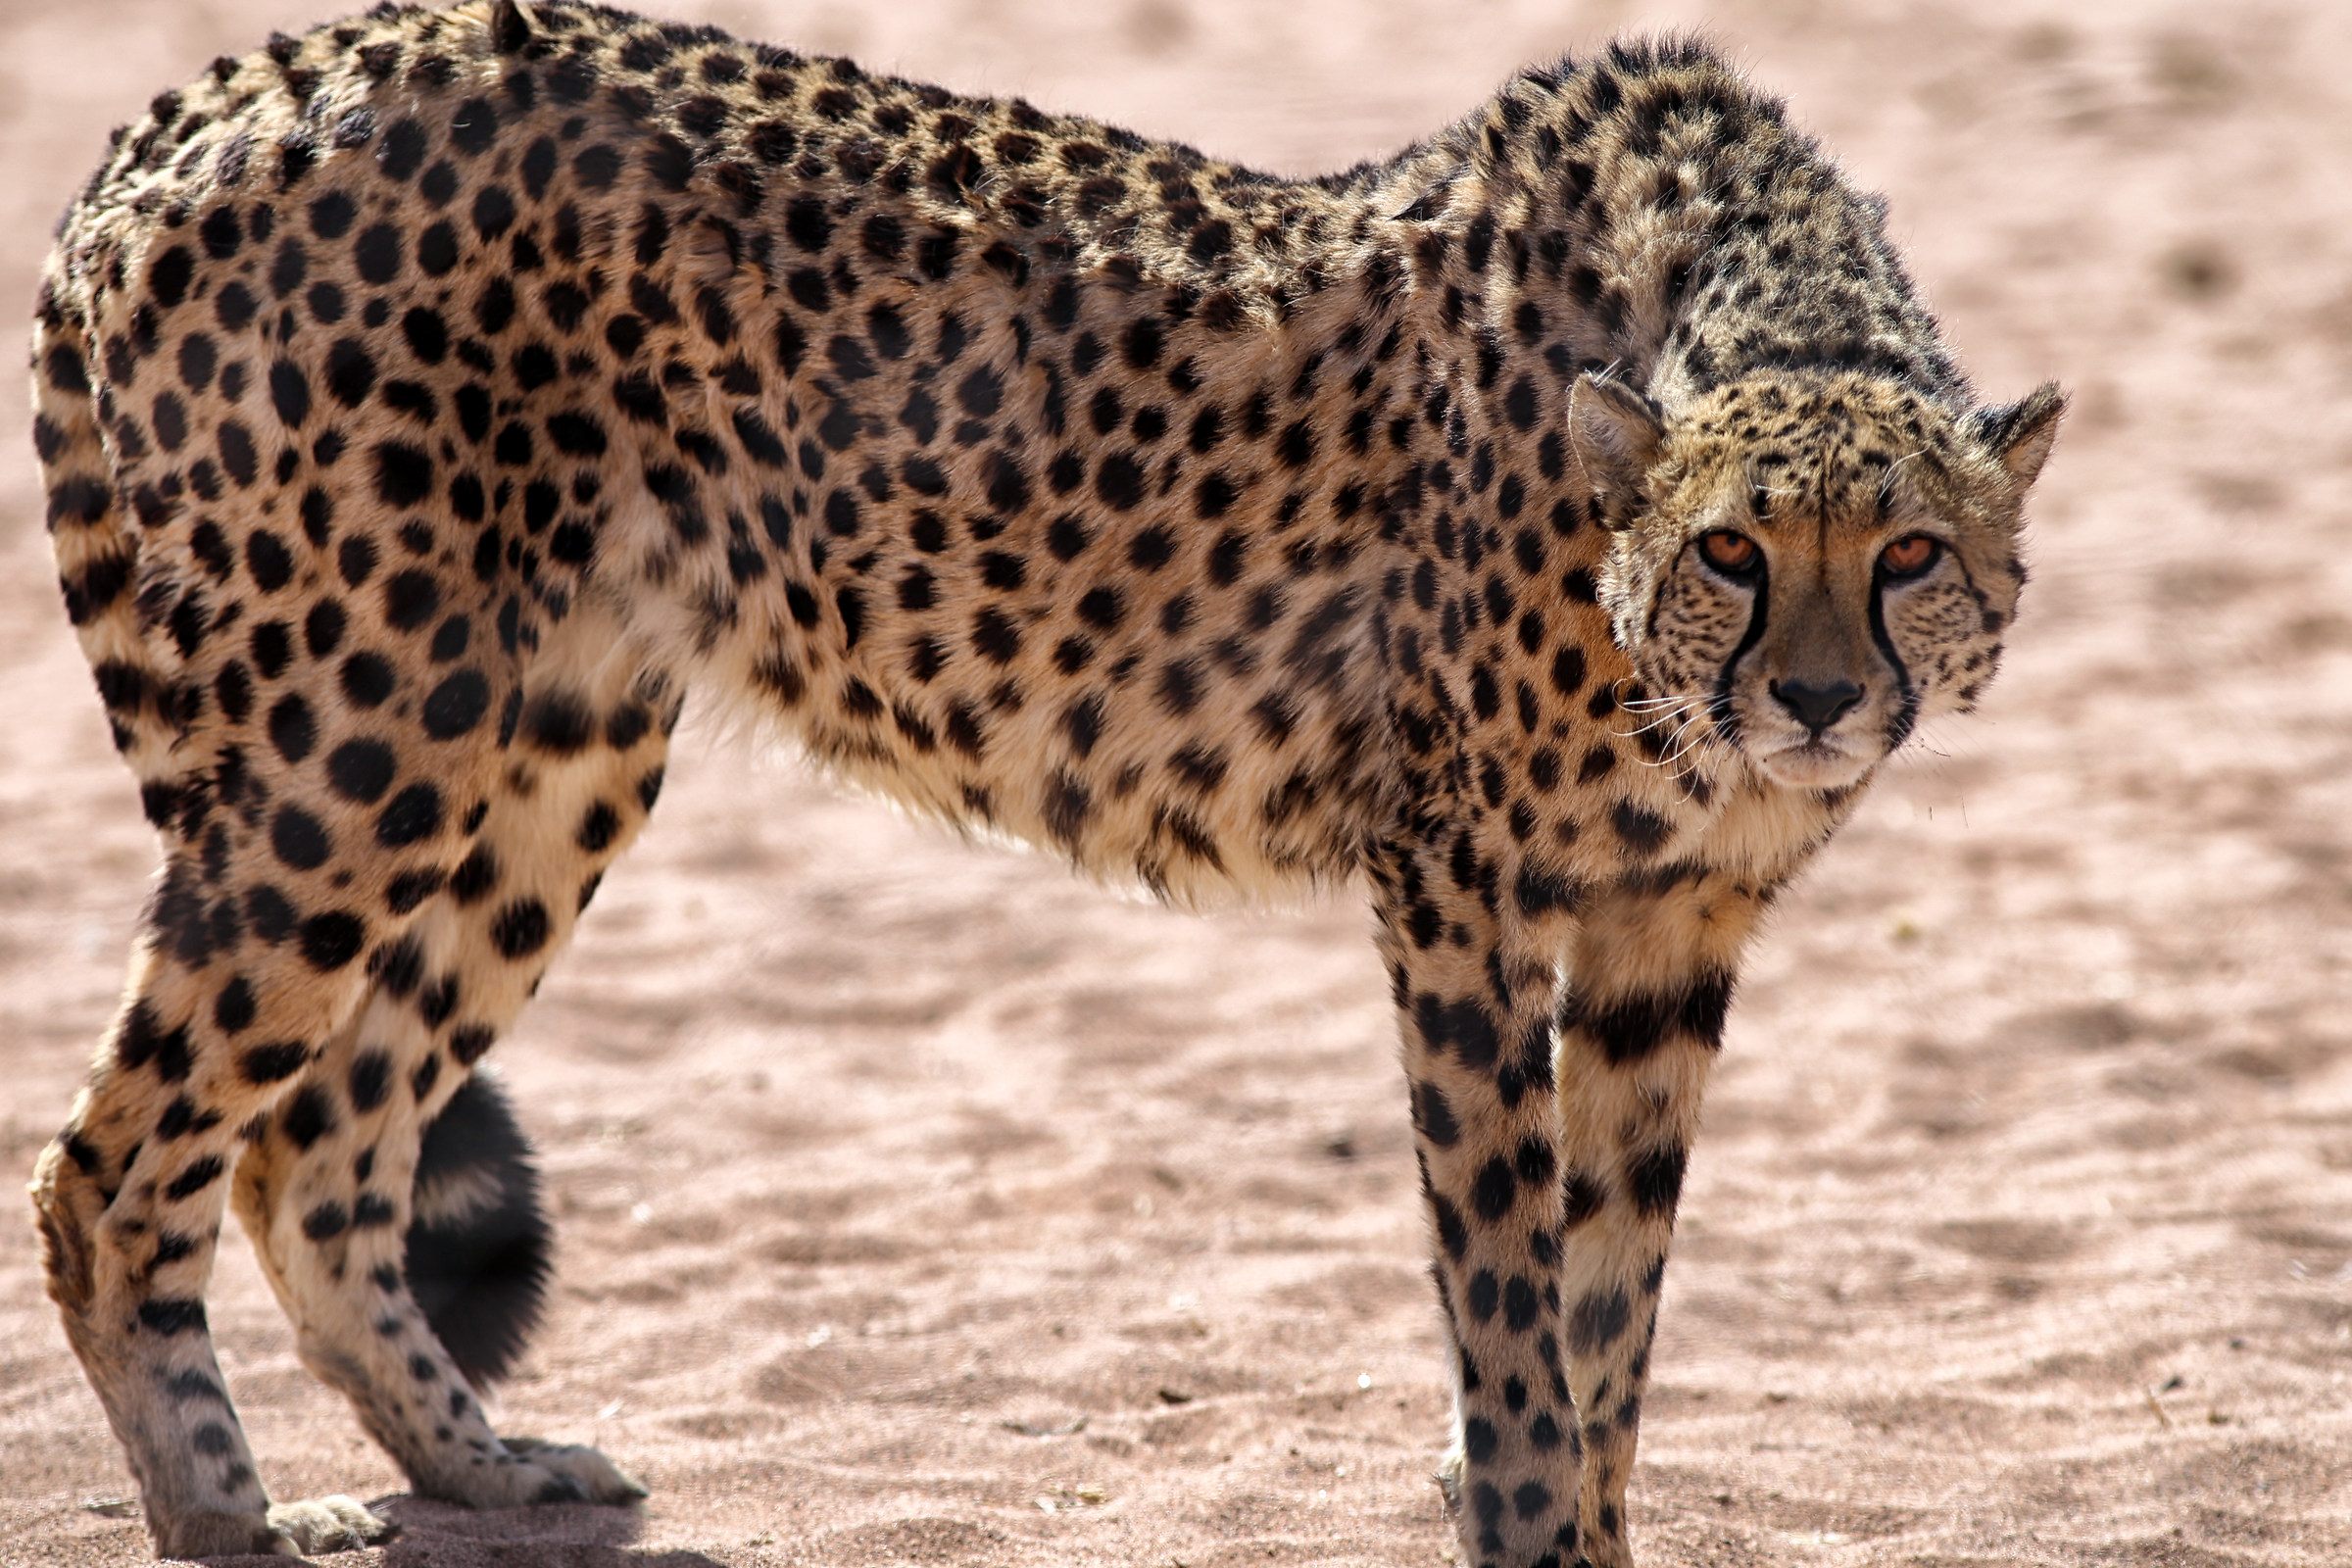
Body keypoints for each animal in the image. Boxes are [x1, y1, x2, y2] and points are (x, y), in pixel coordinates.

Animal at [26, 2, 2063, 1562]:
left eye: (1909, 557)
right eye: (1731, 550)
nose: (1816, 700)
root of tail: (233, 84)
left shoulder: (1668, 923)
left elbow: (1612, 1292)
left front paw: (1600, 1522)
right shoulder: (1459, 883)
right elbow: (1505, 1281)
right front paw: (1525, 1518)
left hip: (552, 742)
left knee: (313, 1141)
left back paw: (483, 1463)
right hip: (365, 731)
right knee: (113, 1165)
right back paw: (236, 1522)